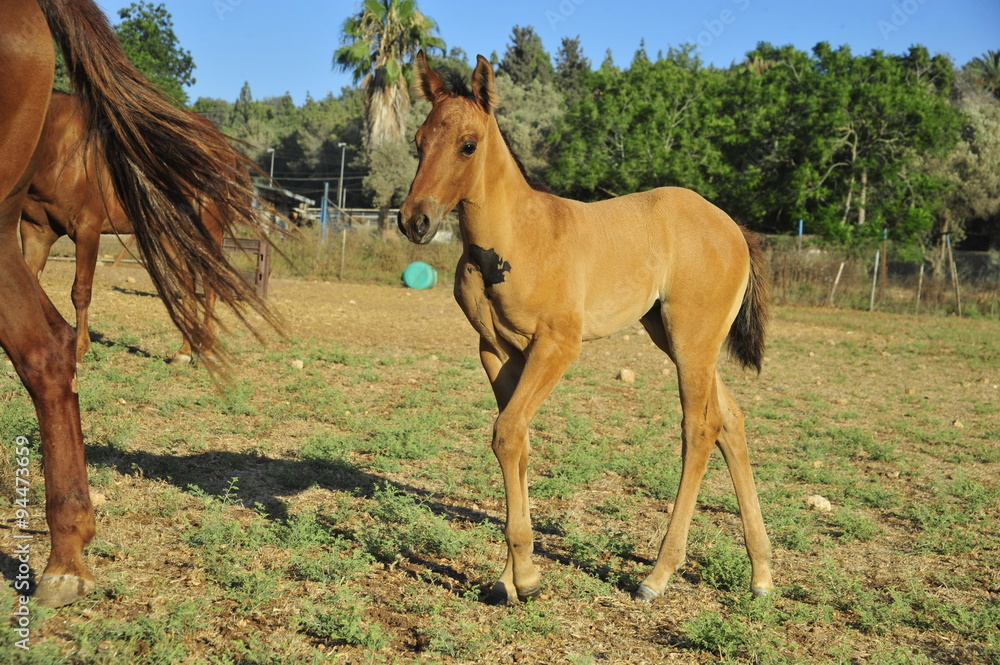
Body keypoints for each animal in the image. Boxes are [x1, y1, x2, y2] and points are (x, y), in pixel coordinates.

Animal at [20, 90, 234, 365]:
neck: (60, 146)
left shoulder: (87, 230)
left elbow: (81, 291)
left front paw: (79, 350)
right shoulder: (35, 232)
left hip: (207, 227)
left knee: (209, 284)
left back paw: (207, 352)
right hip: (167, 233)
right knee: (187, 285)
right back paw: (184, 353)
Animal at [398, 51, 775, 604]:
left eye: (468, 144)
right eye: (419, 140)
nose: (415, 221)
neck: (516, 238)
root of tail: (734, 228)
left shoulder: (557, 346)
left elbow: (507, 433)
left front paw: (526, 578)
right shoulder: (497, 351)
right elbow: (518, 440)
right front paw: (510, 577)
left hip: (691, 339)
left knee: (700, 428)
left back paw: (658, 575)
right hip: (673, 337)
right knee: (731, 421)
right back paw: (761, 572)